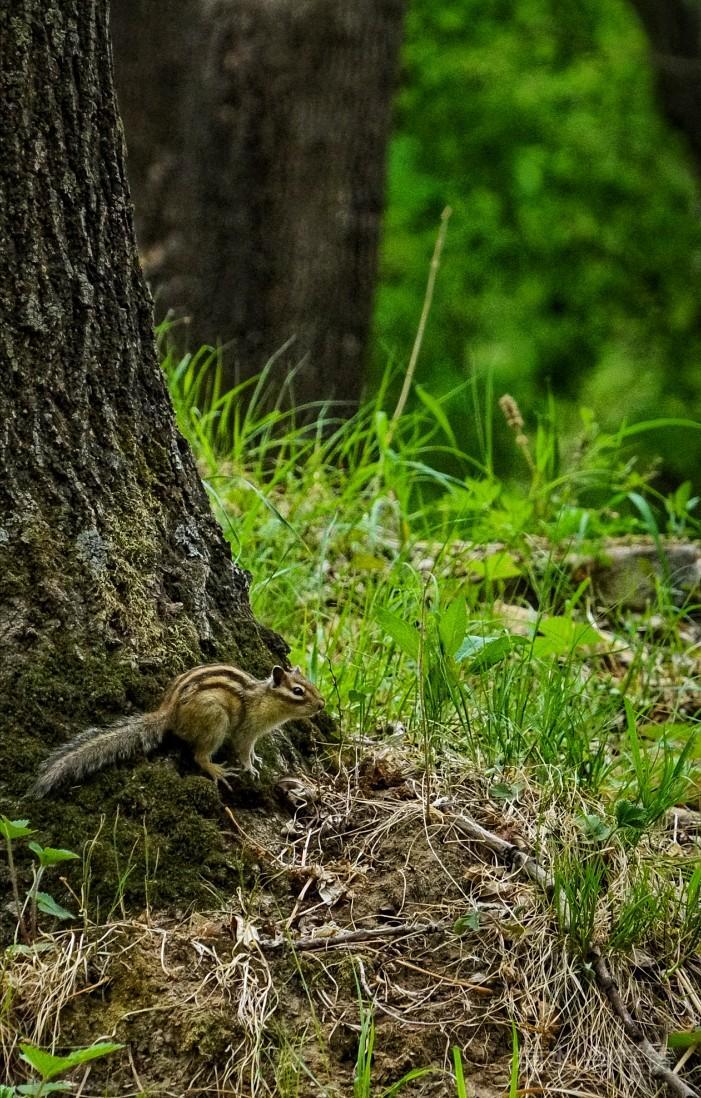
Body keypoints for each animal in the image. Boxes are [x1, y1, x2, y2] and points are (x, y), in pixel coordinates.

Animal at [33, 664, 325, 796]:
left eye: (310, 684)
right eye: (298, 691)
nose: (322, 704)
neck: (265, 700)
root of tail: (169, 712)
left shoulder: (254, 735)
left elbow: (251, 750)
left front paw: (256, 759)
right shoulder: (245, 731)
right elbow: (242, 750)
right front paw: (250, 767)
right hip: (215, 721)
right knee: (199, 755)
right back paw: (216, 771)